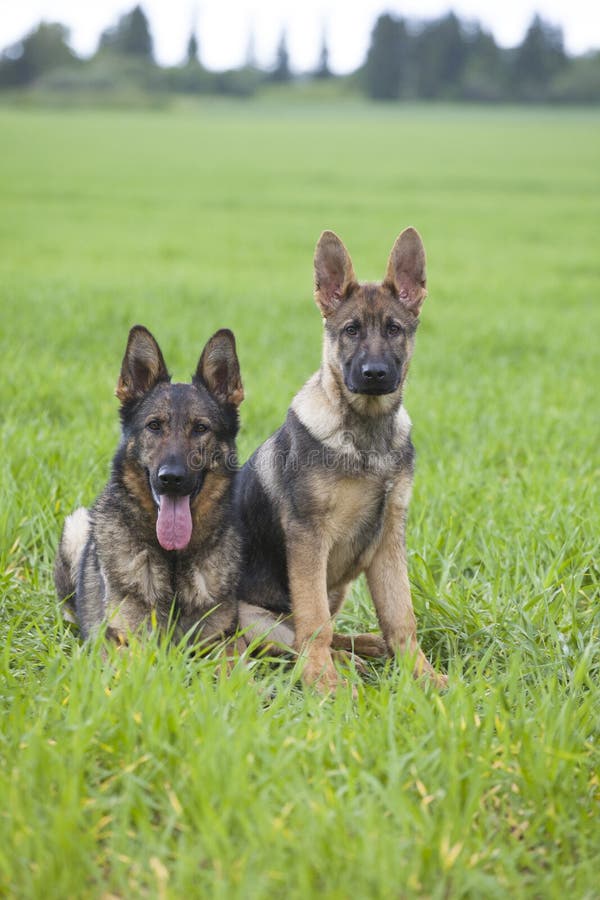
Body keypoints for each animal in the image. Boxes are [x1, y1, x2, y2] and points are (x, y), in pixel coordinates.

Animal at [55, 324, 244, 648]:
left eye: (201, 428)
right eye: (154, 426)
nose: (171, 478)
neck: (173, 561)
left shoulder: (222, 641)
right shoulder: (123, 640)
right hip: (76, 526)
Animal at [234, 229, 446, 692]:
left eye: (394, 329)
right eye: (351, 330)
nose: (374, 374)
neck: (366, 435)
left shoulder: (389, 537)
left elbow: (401, 617)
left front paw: (424, 676)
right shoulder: (309, 538)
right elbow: (314, 624)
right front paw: (325, 684)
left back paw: (366, 647)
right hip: (253, 618)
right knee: (293, 642)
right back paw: (346, 665)